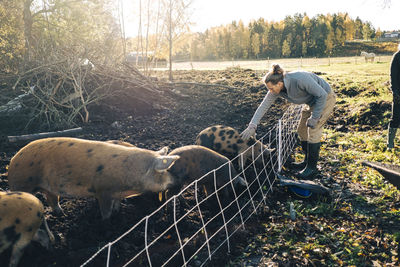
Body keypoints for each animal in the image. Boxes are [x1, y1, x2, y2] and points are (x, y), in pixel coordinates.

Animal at [7, 137, 180, 221]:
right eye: (165, 170)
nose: (177, 181)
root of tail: (13, 160)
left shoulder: (116, 193)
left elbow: (117, 205)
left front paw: (118, 212)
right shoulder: (103, 191)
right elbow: (106, 211)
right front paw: (106, 222)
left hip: (49, 187)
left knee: (51, 199)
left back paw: (62, 214)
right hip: (23, 183)